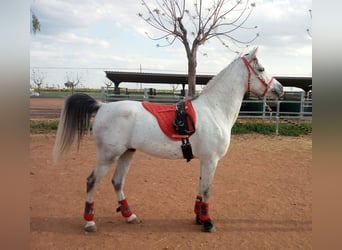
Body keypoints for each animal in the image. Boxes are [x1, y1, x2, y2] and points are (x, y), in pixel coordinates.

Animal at [52, 47, 284, 233]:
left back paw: (130, 215)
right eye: (261, 68)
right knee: (91, 181)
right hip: (107, 156)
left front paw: (199, 217)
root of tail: (102, 106)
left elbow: (200, 187)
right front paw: (208, 222)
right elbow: (207, 190)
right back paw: (90, 222)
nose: (280, 89)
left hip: (127, 153)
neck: (214, 109)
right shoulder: (211, 160)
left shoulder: (205, 160)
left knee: (117, 182)